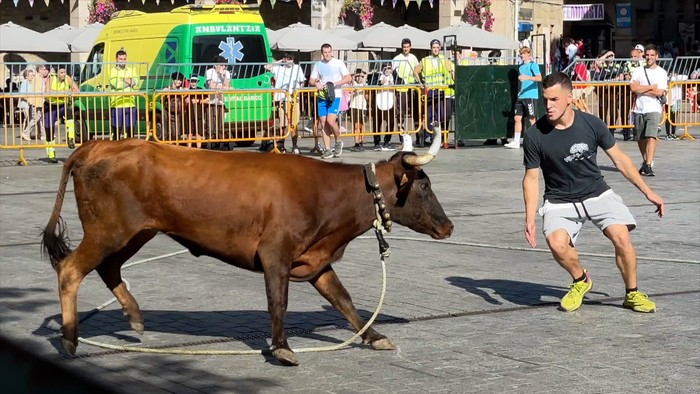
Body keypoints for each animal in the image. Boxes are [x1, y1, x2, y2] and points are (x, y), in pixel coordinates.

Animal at [42, 132, 454, 366]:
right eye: (423, 186)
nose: (448, 226)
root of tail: (99, 145)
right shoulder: (276, 254)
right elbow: (278, 301)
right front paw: (282, 347)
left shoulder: (317, 260)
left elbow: (344, 300)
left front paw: (374, 336)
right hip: (108, 231)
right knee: (70, 270)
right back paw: (70, 339)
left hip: (136, 232)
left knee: (108, 269)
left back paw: (135, 318)